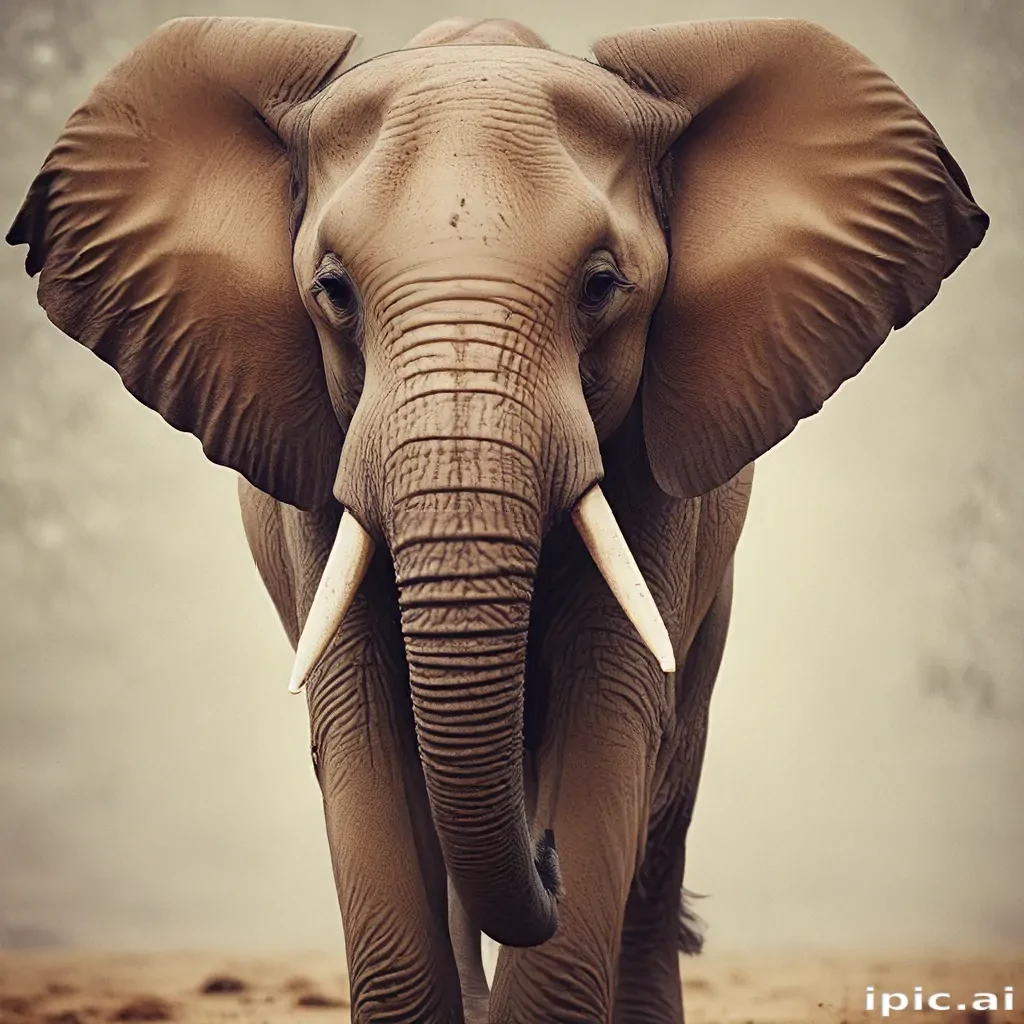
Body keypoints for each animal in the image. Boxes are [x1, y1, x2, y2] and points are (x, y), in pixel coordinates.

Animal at [7, 12, 987, 1023]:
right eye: (333, 291)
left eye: (602, 285)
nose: (546, 855)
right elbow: (360, 721)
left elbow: (610, 711)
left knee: (666, 793)